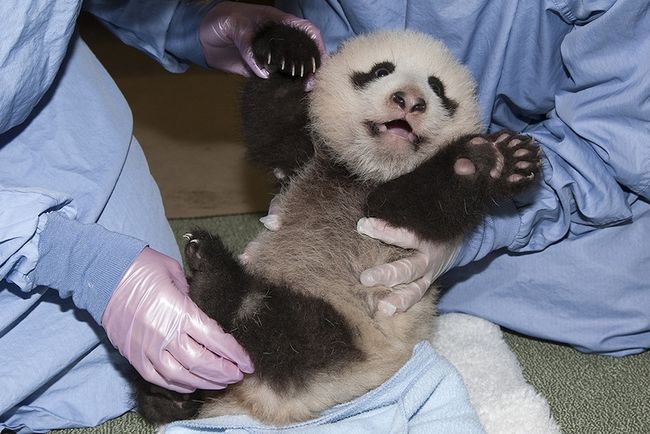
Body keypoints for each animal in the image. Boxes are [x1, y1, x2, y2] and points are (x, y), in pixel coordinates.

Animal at [133, 24, 540, 426]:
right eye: (381, 70)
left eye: (437, 87)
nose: (409, 100)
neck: (367, 172)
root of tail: (246, 403)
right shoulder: (309, 158)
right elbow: (271, 127)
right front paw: (289, 52)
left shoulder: (386, 226)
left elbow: (415, 205)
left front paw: (489, 160)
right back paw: (169, 390)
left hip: (347, 339)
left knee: (279, 325)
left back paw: (215, 275)